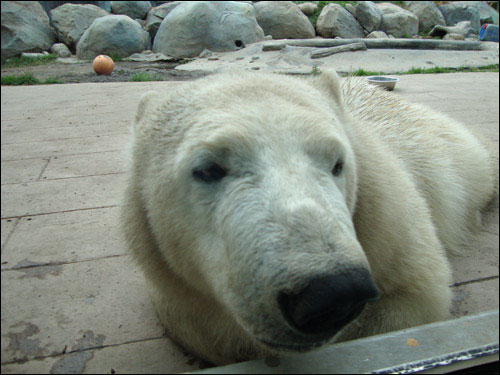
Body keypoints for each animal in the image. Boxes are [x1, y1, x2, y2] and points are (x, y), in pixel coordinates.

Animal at [120, 71, 496, 368]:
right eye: (209, 169)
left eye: (338, 163)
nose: (332, 292)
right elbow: (195, 326)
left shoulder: (390, 221)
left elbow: (420, 295)